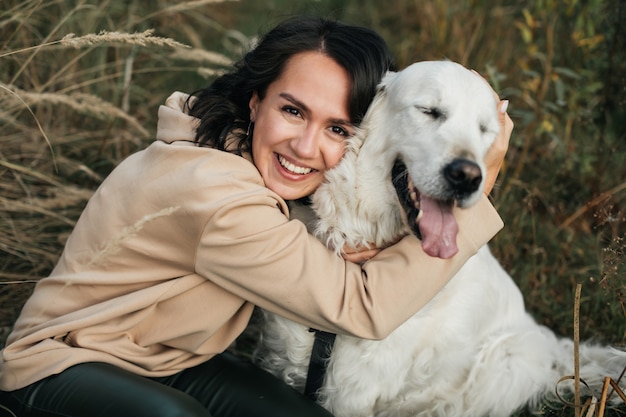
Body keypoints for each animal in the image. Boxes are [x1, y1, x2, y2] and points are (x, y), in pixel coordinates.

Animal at [252, 60, 624, 416]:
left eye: (484, 130)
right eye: (430, 111)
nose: (468, 177)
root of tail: (554, 350)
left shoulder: (353, 392)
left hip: (503, 363)